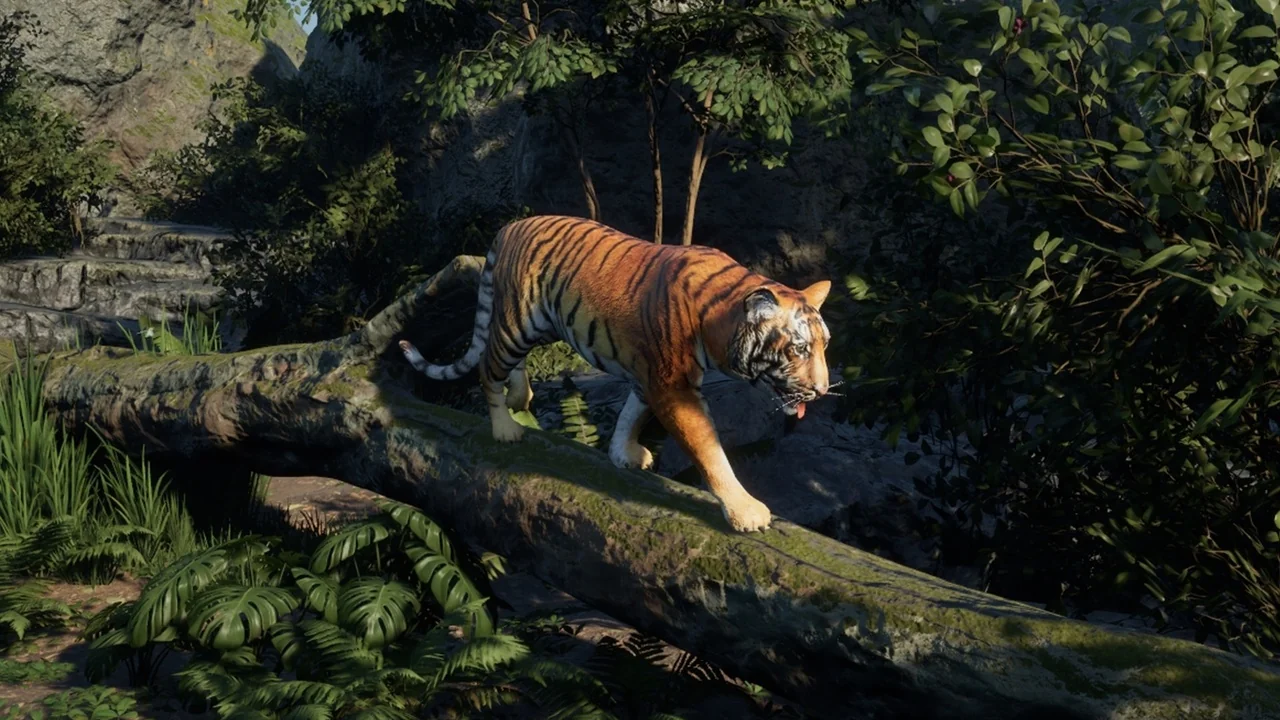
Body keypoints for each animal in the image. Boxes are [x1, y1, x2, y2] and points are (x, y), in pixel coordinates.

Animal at [398, 215, 833, 533]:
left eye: (825, 345)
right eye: (798, 349)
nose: (822, 390)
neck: (719, 324)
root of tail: (509, 227)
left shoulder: (650, 377)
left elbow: (631, 414)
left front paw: (623, 453)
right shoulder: (673, 386)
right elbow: (709, 449)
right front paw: (745, 511)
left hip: (542, 325)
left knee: (511, 365)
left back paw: (520, 397)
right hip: (517, 323)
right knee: (488, 367)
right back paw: (505, 427)